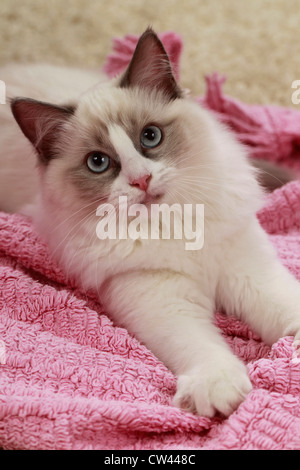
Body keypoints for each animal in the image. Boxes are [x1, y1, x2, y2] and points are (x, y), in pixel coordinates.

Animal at [0, 27, 300, 416]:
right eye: (98, 162)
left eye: (150, 136)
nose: (141, 180)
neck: (173, 225)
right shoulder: (160, 299)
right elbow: (200, 346)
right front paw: (218, 388)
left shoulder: (249, 272)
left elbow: (284, 305)